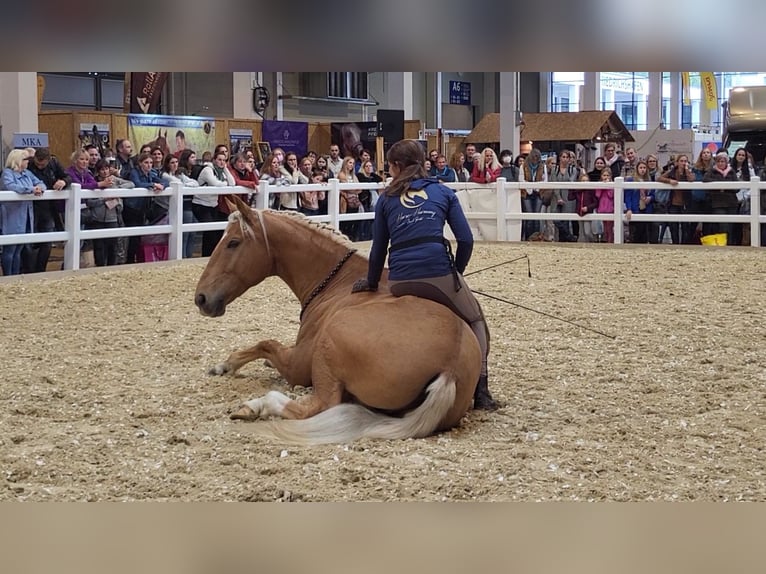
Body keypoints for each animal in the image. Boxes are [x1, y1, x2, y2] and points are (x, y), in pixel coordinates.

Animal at [194, 196, 482, 445]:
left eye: (233, 242)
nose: (201, 298)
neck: (338, 282)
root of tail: (451, 366)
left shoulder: (297, 365)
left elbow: (266, 344)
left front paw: (227, 364)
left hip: (328, 346)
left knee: (319, 406)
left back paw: (257, 405)